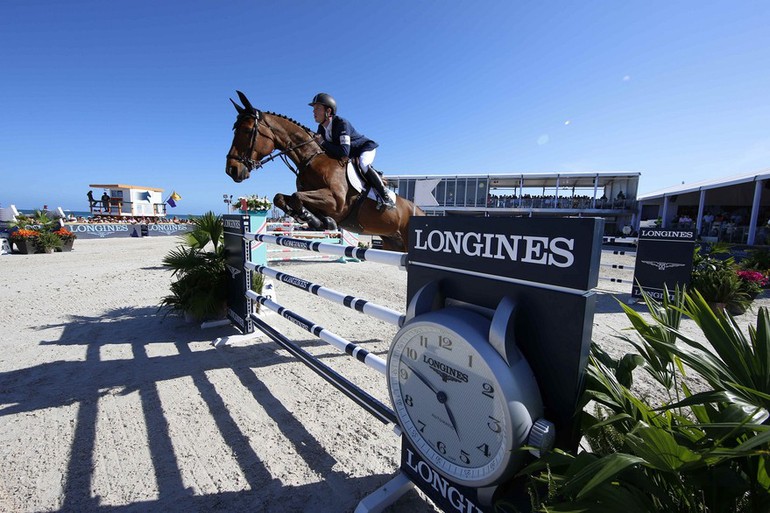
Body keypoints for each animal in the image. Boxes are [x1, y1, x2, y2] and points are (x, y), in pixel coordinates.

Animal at [225, 93, 424, 253]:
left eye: (247, 130)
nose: (231, 170)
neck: (310, 159)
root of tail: (421, 212)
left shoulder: (336, 202)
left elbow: (297, 196)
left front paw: (315, 220)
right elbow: (280, 197)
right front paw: (319, 220)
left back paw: (387, 199)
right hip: (393, 242)